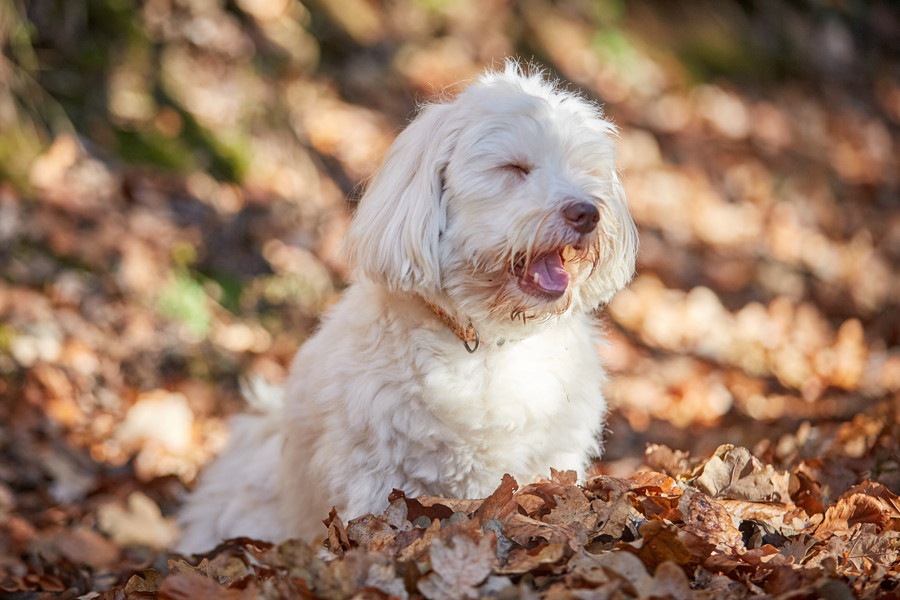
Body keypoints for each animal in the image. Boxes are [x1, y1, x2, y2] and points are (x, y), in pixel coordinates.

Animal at [176, 62, 636, 552]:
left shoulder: (551, 457)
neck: (484, 341)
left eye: (585, 172)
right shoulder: (374, 473)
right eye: (514, 168)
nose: (587, 212)